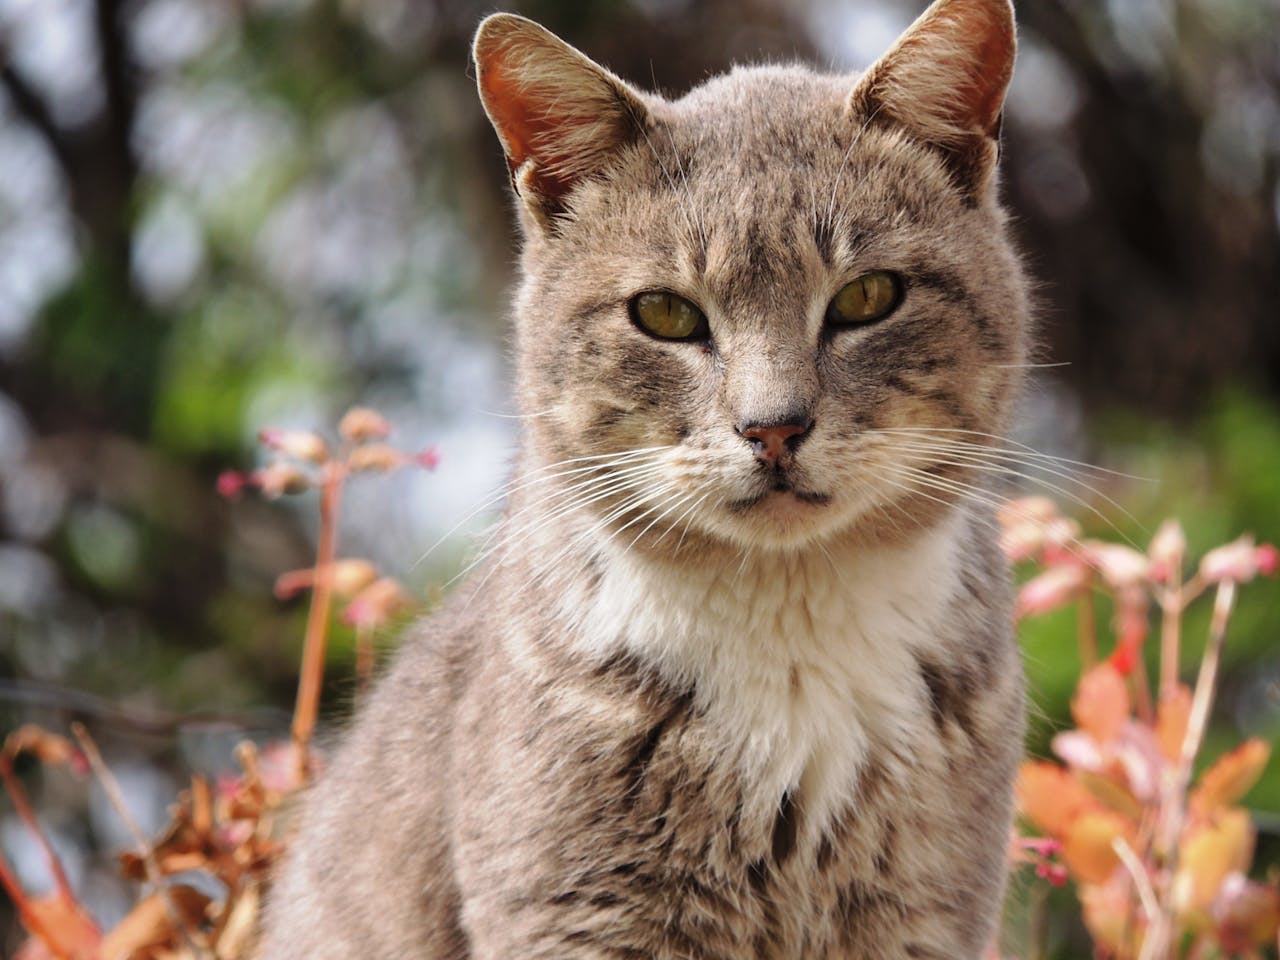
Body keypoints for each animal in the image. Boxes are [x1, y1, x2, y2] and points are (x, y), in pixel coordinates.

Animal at [257, 0, 1029, 957]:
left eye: (867, 297)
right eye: (664, 313)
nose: (773, 428)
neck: (789, 628)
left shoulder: (926, 915)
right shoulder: (572, 911)